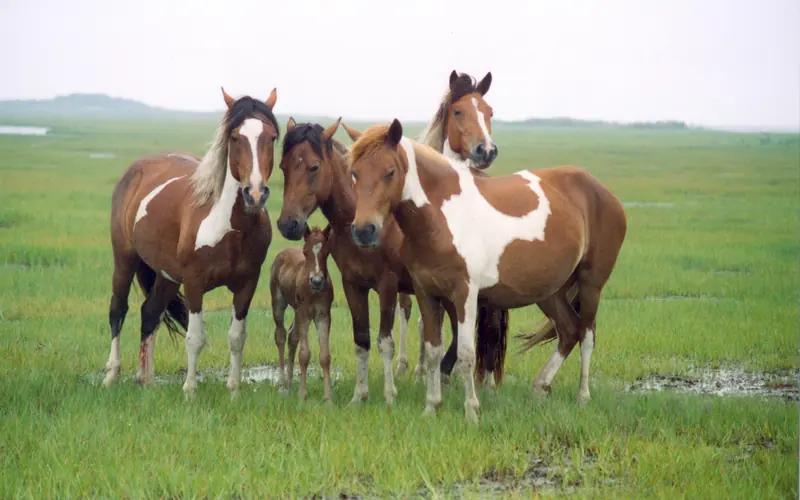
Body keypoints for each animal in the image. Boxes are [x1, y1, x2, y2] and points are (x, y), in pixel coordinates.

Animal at [103, 87, 280, 398]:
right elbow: (195, 338)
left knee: (149, 313)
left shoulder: (246, 284)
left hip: (167, 275)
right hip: (124, 259)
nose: (255, 193)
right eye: (235, 137)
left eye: (271, 137)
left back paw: (146, 381)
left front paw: (234, 391)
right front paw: (190, 391)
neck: (230, 227)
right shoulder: (195, 283)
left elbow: (237, 337)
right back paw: (112, 375)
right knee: (118, 310)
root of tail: (136, 169)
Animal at [270, 225, 334, 401]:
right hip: (279, 303)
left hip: (297, 312)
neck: (314, 291)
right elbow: (304, 354)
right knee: (281, 335)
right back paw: (282, 385)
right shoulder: (304, 314)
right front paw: (303, 396)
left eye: (327, 252)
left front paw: (328, 398)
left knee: (292, 336)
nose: (317, 281)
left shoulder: (323, 315)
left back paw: (290, 384)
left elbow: (325, 356)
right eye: (305, 252)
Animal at [346, 119, 627, 423]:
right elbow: (433, 350)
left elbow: (466, 353)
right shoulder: (426, 293)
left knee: (586, 335)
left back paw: (582, 396)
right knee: (569, 331)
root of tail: (603, 192)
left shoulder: (465, 294)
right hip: (550, 291)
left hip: (591, 285)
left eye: (390, 172)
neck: (442, 216)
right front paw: (432, 406)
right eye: (354, 173)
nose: (364, 230)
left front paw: (471, 410)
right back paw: (541, 386)